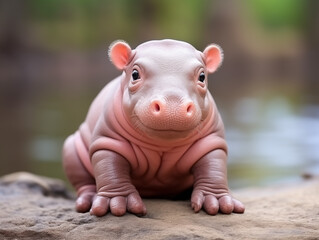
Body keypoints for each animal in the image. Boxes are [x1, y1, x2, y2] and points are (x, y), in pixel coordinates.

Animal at [63, 39, 248, 216]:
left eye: (202, 76)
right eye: (135, 74)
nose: (173, 107)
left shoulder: (211, 141)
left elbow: (213, 168)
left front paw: (217, 202)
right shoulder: (107, 141)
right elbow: (110, 169)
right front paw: (116, 203)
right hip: (71, 148)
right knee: (84, 181)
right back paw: (86, 201)